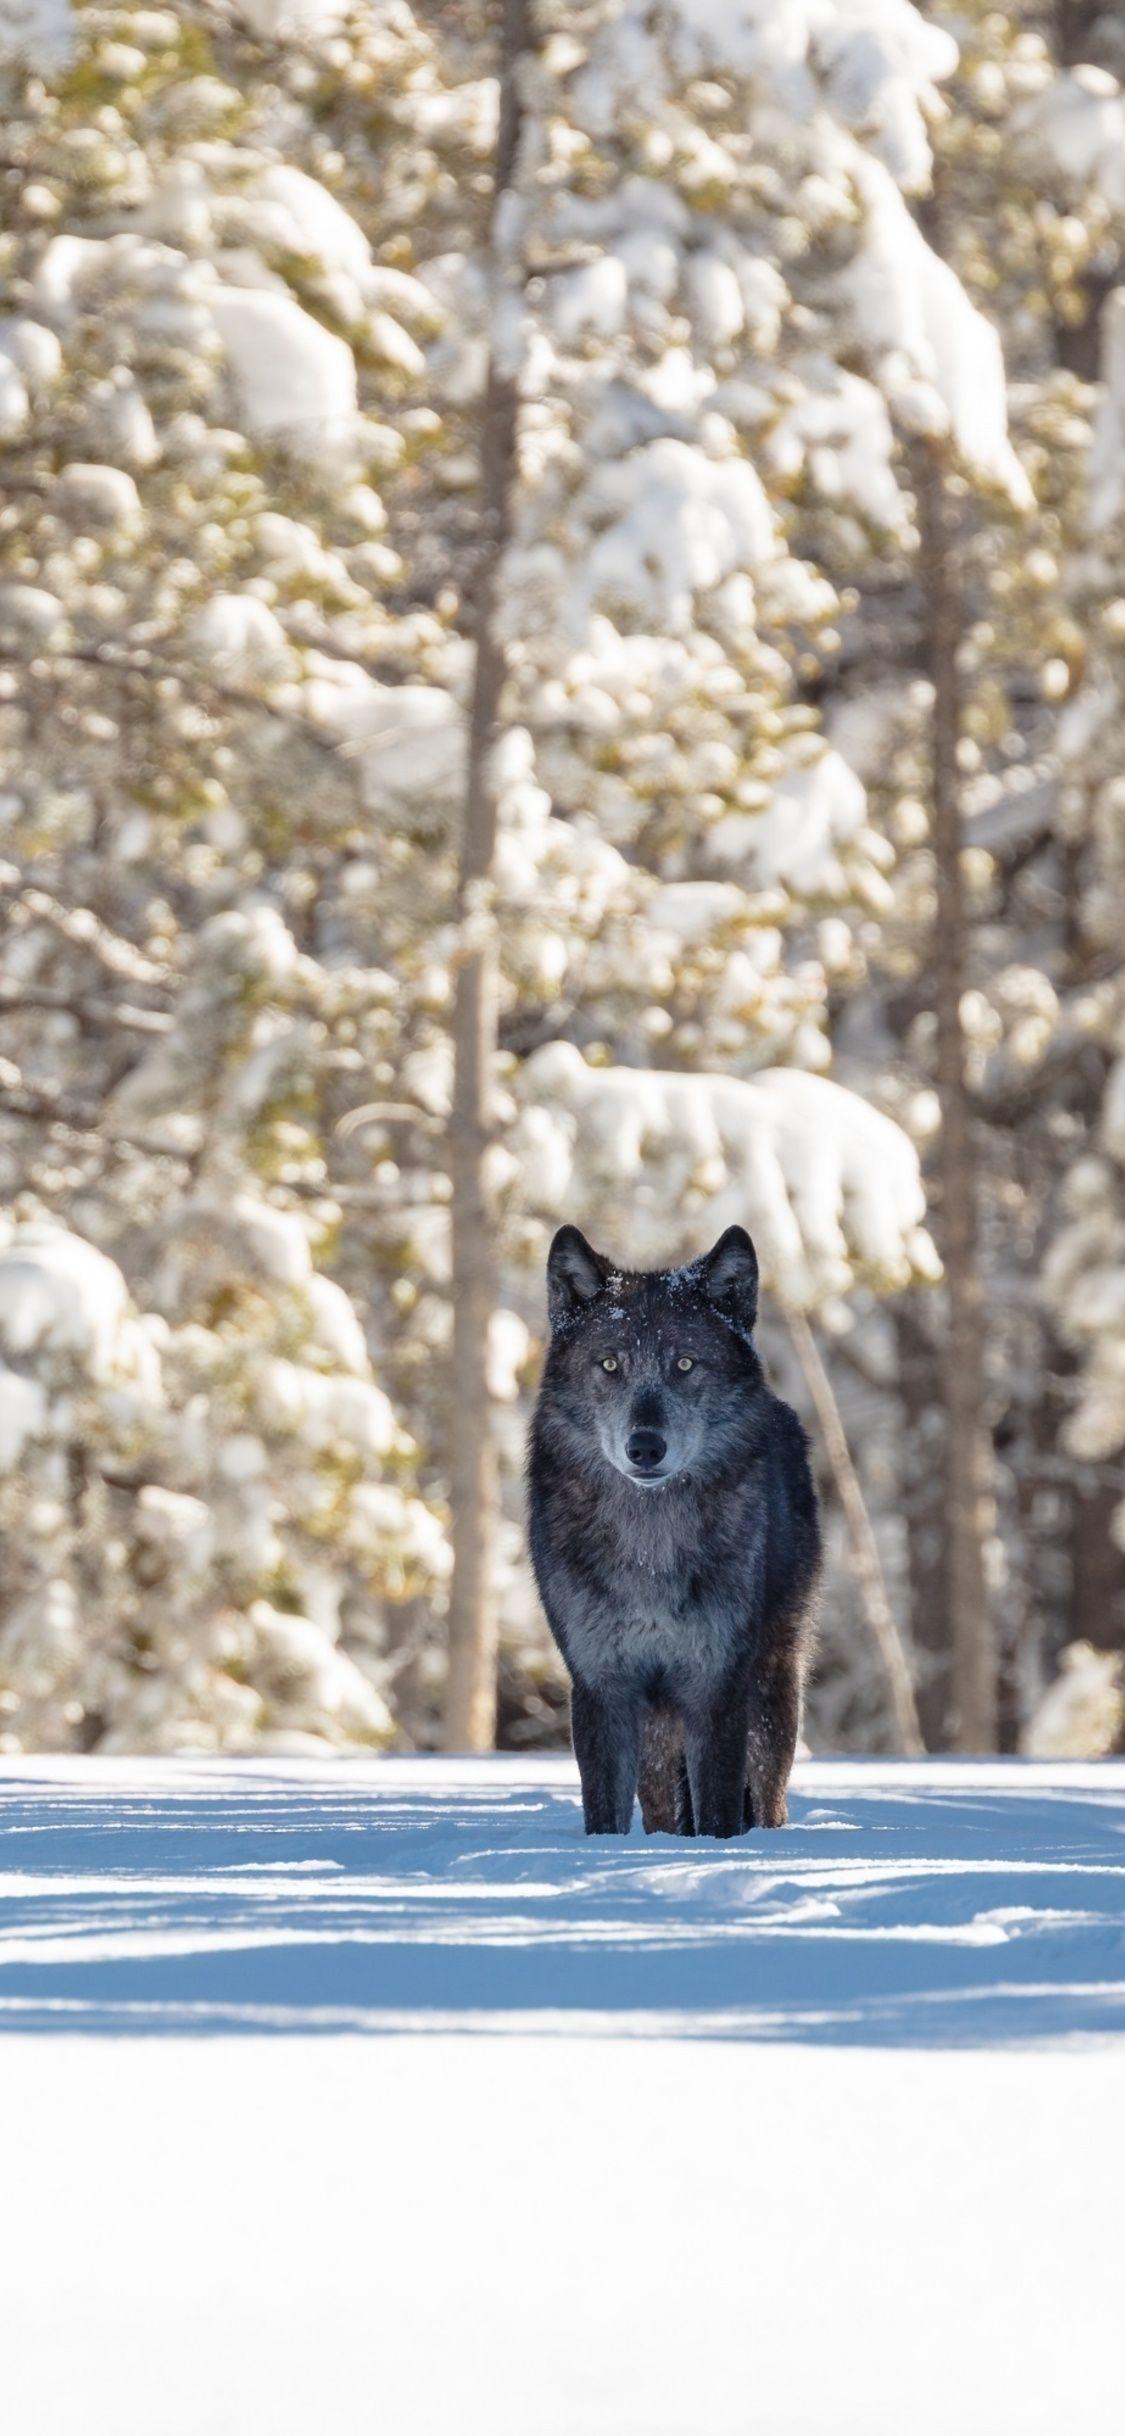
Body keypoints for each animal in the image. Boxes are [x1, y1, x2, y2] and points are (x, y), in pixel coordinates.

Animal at [527, 1224, 821, 1837]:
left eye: (685, 1364)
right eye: (609, 1365)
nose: (645, 1446)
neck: (651, 1547)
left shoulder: (717, 1684)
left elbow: (718, 1809)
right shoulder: (603, 1685)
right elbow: (604, 1813)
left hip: (771, 1691)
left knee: (768, 1796)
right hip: (660, 1732)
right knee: (664, 1805)